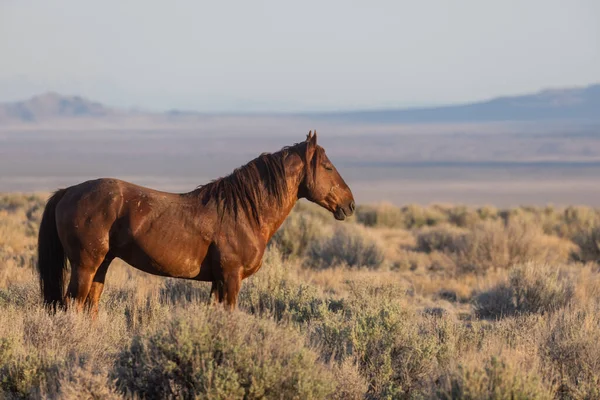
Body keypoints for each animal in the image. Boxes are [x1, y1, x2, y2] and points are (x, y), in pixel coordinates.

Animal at [36, 133, 356, 314]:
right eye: (327, 167)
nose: (350, 204)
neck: (244, 211)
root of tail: (68, 191)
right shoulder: (231, 279)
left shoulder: (218, 281)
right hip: (85, 266)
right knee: (73, 306)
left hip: (101, 266)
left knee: (89, 306)